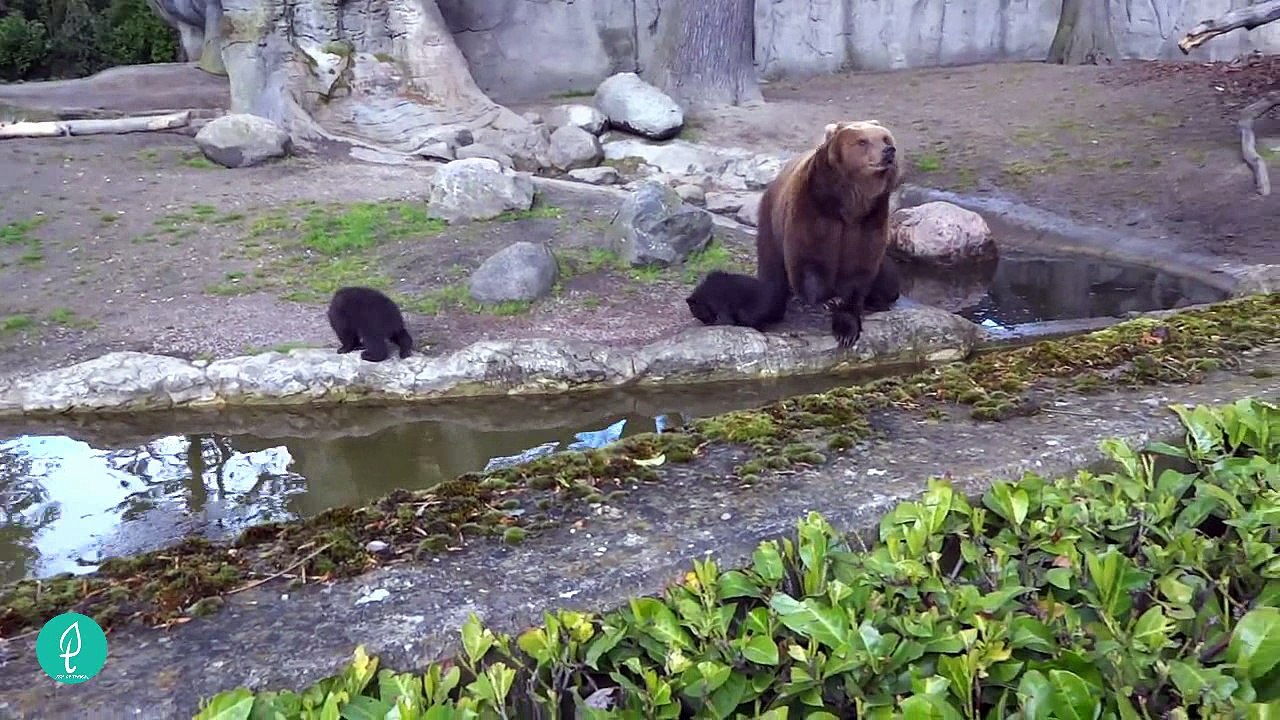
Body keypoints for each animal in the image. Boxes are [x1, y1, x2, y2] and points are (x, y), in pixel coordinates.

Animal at [745, 119, 903, 347]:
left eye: (885, 138)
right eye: (862, 141)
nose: (888, 151)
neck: (851, 202)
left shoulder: (871, 218)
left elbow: (860, 267)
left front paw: (846, 327)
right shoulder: (816, 207)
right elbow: (811, 257)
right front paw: (826, 300)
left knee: (889, 280)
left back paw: (879, 300)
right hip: (770, 218)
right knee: (771, 264)